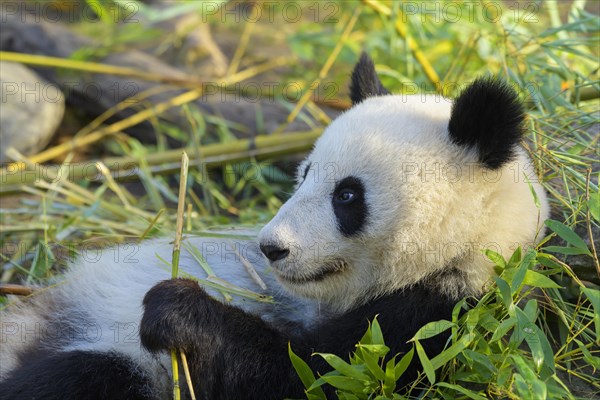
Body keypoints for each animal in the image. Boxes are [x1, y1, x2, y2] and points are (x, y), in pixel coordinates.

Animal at [0, 54, 548, 400]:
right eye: (304, 174)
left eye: (347, 195)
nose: (271, 248)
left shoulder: (436, 320)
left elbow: (315, 376)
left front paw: (176, 308)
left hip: (124, 365)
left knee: (77, 379)